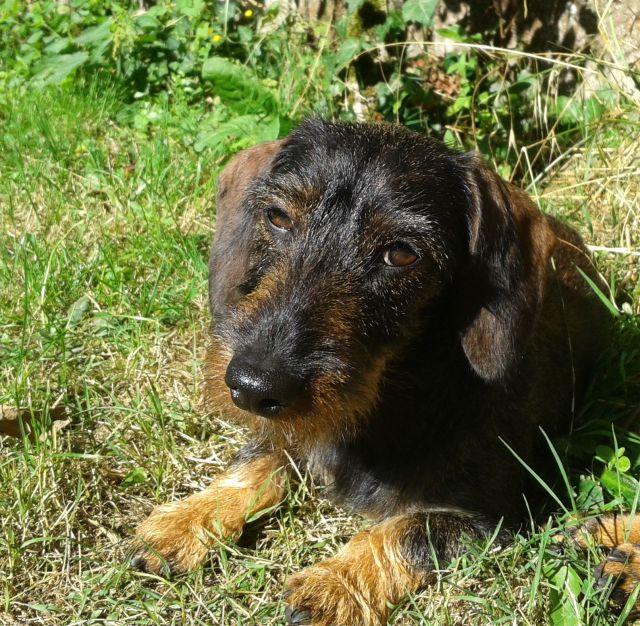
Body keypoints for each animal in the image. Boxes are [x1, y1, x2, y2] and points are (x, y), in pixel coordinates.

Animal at [134, 119, 636, 620]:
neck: (396, 396)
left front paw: (334, 586)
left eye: (403, 253)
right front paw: (185, 521)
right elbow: (261, 458)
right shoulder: (291, 428)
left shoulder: (487, 516)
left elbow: (405, 531)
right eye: (277, 217)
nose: (254, 387)